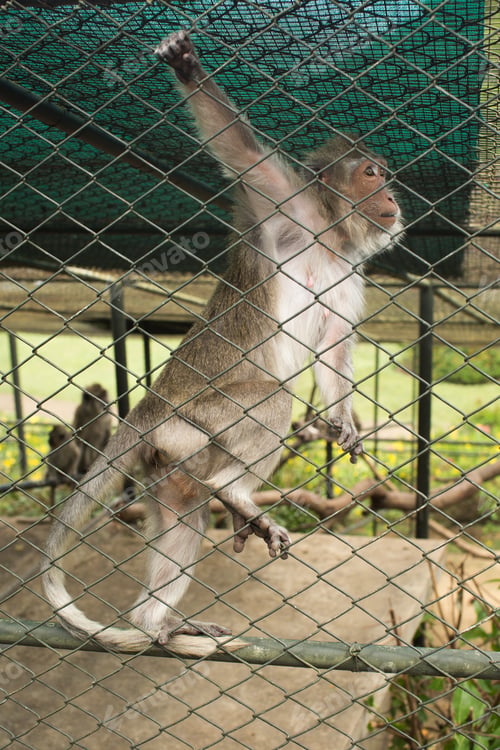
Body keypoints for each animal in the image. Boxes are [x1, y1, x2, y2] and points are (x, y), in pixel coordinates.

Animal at [42, 30, 404, 658]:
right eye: (370, 172)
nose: (394, 196)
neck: (329, 235)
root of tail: (147, 408)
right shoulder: (282, 202)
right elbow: (238, 151)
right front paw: (187, 66)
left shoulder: (351, 270)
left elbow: (334, 342)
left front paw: (343, 420)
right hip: (190, 423)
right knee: (271, 397)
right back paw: (233, 493)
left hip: (166, 460)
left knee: (184, 516)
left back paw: (156, 622)